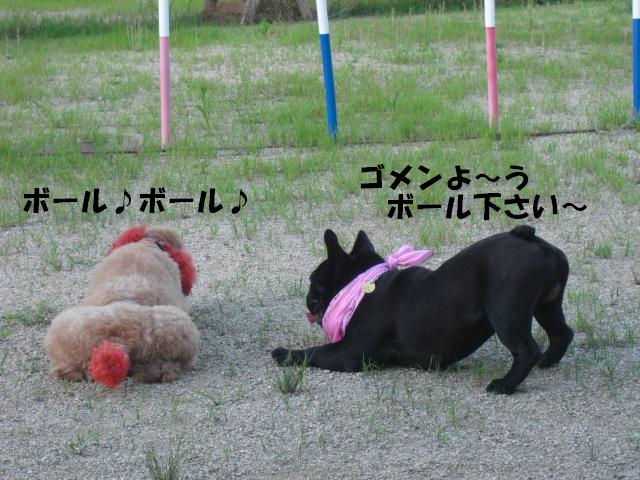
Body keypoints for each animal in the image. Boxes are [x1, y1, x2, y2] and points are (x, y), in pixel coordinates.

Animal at [272, 226, 574, 394]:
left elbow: (314, 352)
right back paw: (547, 362)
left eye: (313, 281)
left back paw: (505, 385)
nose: (307, 297)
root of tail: (528, 239)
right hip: (547, 305)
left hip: (505, 312)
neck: (362, 285)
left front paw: (284, 353)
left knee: (526, 349)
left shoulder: (349, 352)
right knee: (562, 333)